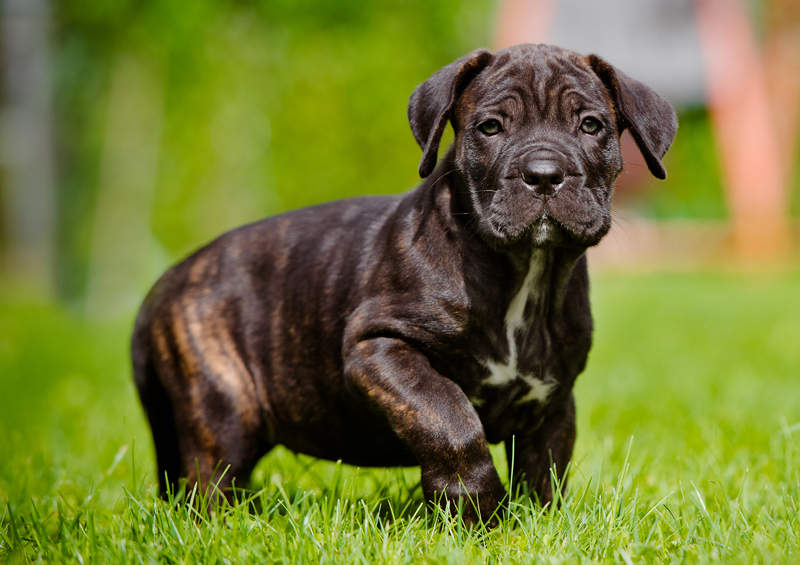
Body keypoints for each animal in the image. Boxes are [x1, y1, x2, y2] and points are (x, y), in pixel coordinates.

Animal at [131, 41, 676, 524]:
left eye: (591, 126)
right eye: (490, 128)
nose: (544, 174)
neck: (523, 272)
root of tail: (170, 278)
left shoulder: (554, 395)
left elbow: (545, 467)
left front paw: (539, 524)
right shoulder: (378, 347)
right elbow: (449, 417)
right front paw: (475, 509)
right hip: (223, 407)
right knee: (209, 478)